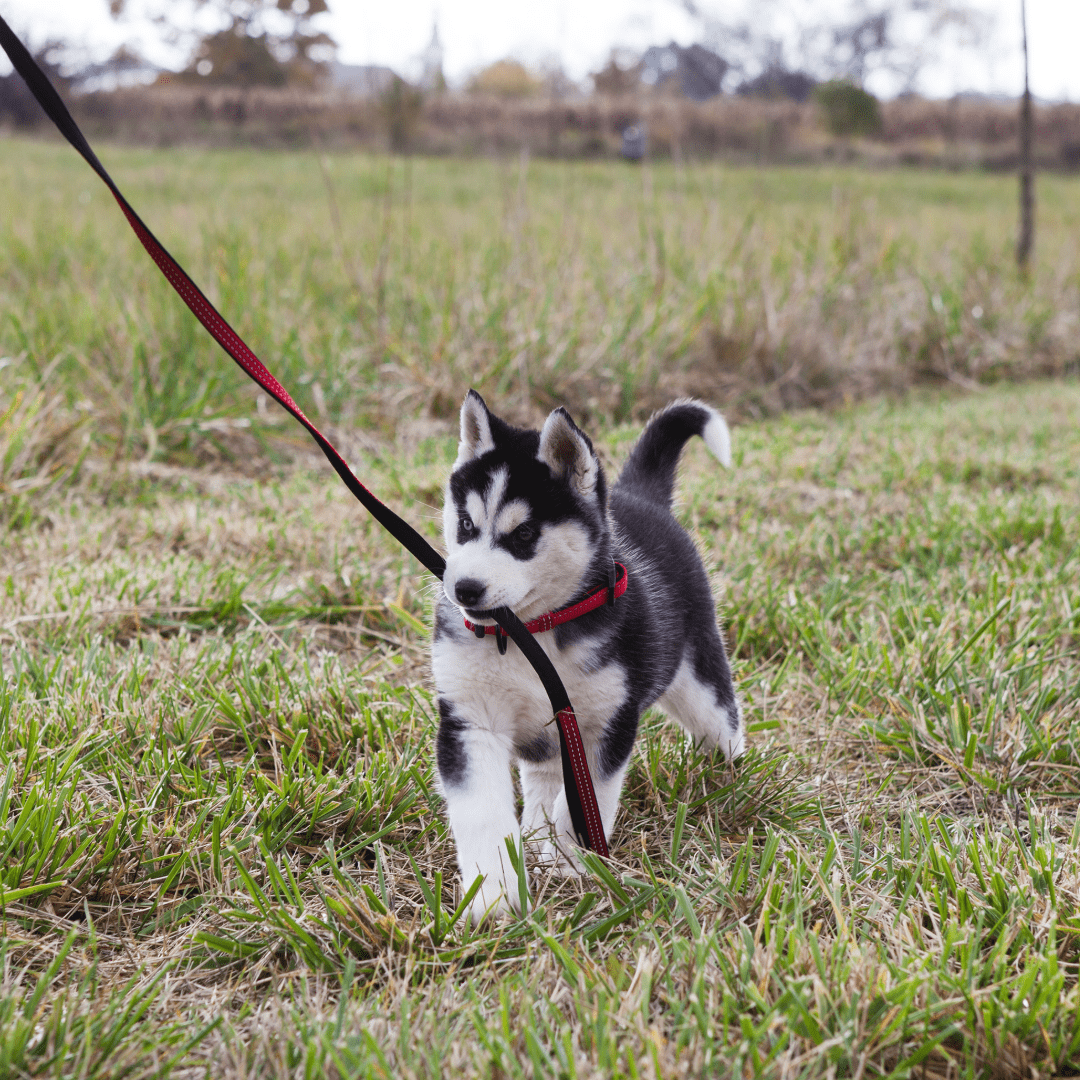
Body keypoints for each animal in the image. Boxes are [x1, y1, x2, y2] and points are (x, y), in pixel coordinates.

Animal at [432, 393, 743, 924]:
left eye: (524, 534)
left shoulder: (606, 721)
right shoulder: (471, 720)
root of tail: (638, 498)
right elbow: (483, 814)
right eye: (466, 524)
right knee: (541, 777)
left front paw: (570, 865)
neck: (530, 632)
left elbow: (584, 802)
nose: (464, 589)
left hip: (699, 683)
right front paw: (494, 895)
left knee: (723, 723)